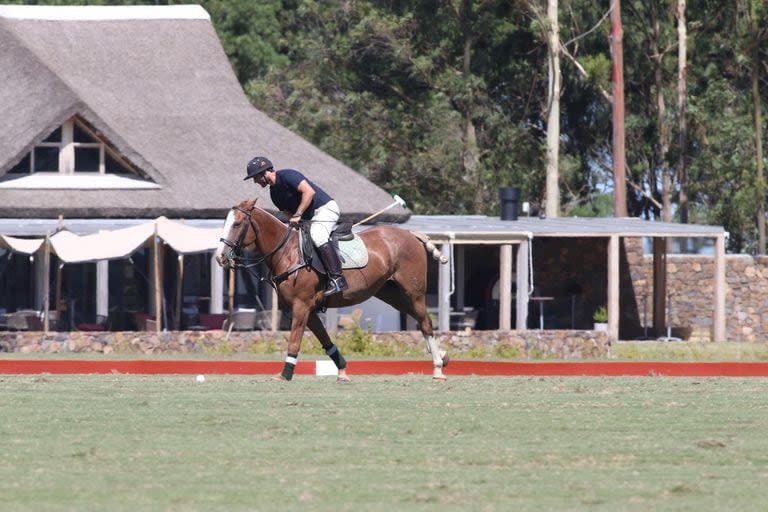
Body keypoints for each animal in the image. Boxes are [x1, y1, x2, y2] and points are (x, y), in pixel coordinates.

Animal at [213, 199, 448, 380]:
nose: (220, 256)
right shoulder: (307, 309)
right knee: (420, 321)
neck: (288, 252)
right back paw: (442, 356)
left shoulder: (301, 306)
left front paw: (285, 374)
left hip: (413, 292)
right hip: (391, 294)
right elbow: (325, 340)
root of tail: (411, 233)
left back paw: (437, 368)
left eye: (237, 224)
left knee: (426, 323)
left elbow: (295, 341)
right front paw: (342, 371)